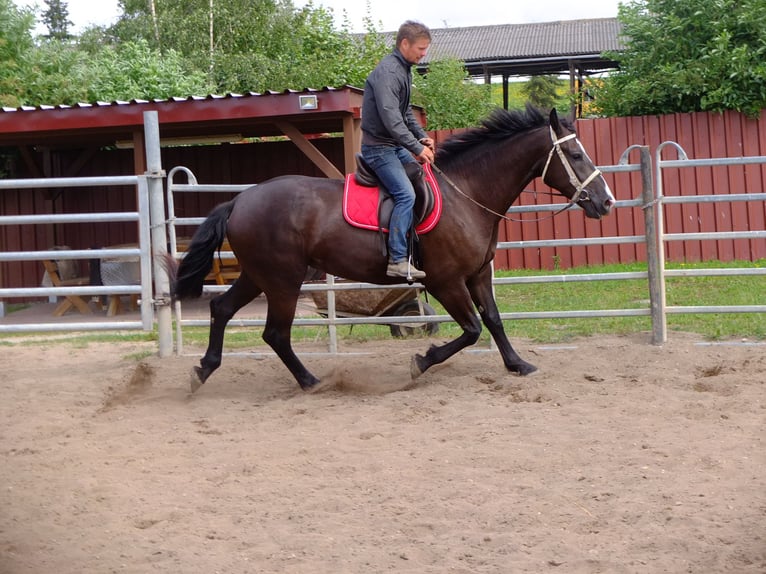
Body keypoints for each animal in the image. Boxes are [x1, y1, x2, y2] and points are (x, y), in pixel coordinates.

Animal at [170, 106, 616, 394]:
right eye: (574, 154)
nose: (606, 201)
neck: (467, 194)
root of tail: (239, 200)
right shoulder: (444, 282)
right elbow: (472, 329)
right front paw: (421, 361)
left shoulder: (477, 274)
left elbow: (493, 320)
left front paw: (517, 364)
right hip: (283, 281)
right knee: (275, 333)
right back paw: (310, 381)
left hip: (260, 275)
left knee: (223, 309)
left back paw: (204, 370)